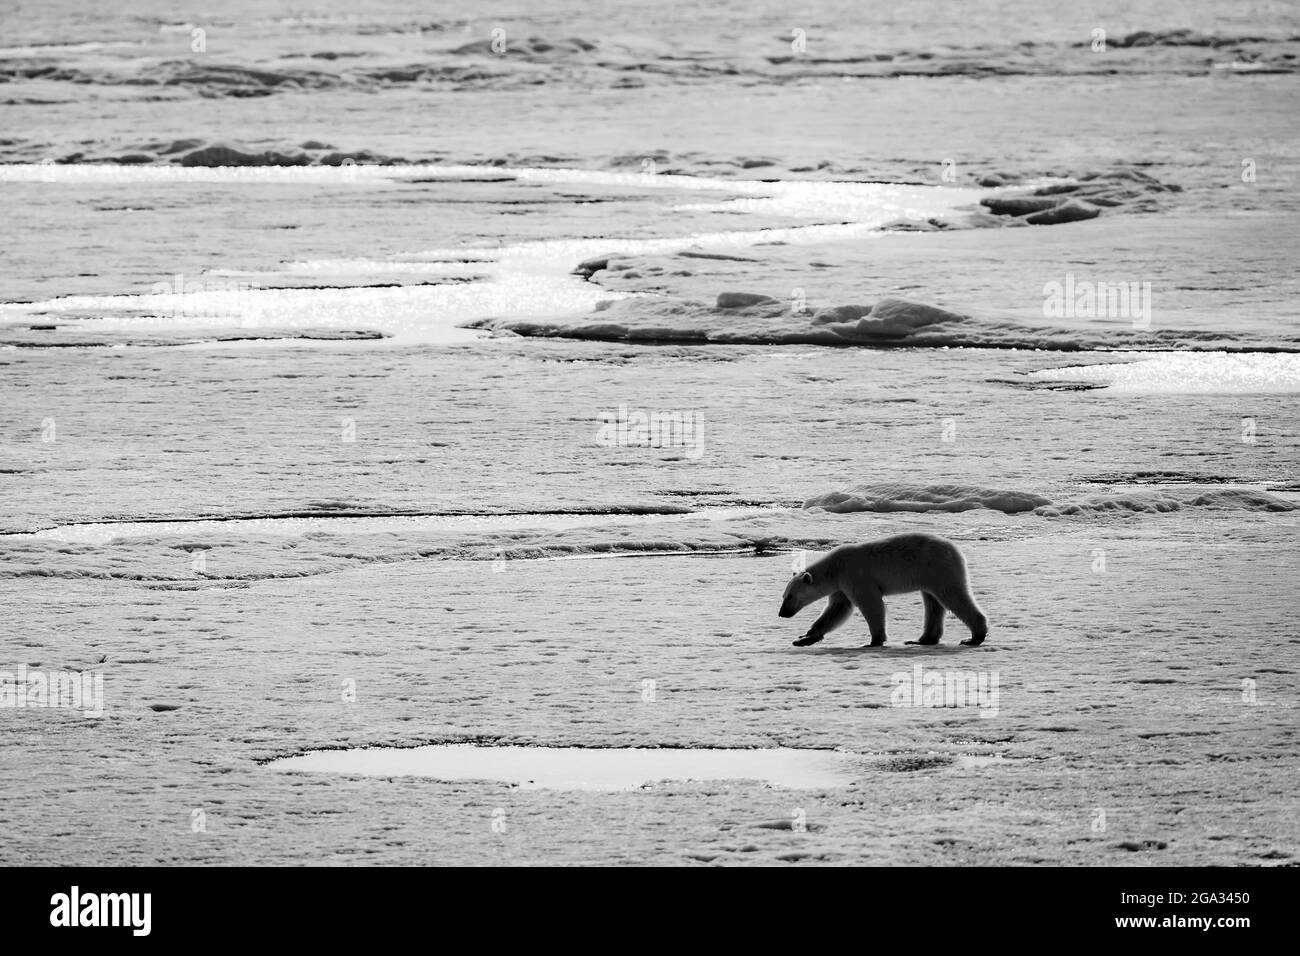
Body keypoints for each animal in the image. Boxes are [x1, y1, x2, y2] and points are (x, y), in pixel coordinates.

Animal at [780, 535, 982, 647]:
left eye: (790, 596)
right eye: (784, 595)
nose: (782, 613)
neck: (835, 567)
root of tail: (956, 550)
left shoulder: (855, 576)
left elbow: (870, 604)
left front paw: (873, 641)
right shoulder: (841, 586)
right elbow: (837, 609)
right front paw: (804, 638)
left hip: (937, 568)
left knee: (952, 595)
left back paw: (973, 638)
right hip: (928, 576)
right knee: (933, 604)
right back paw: (922, 639)